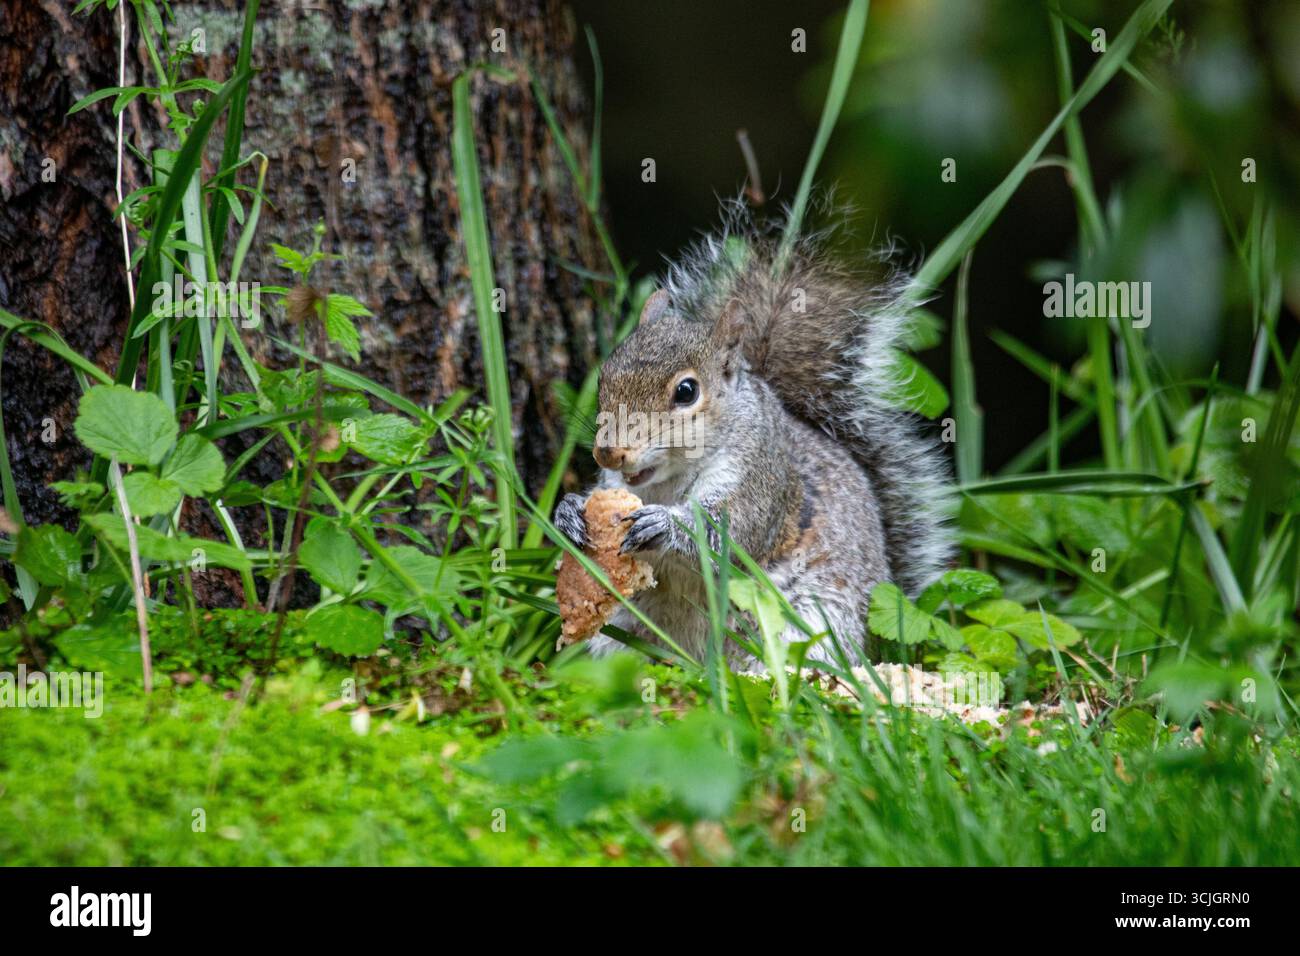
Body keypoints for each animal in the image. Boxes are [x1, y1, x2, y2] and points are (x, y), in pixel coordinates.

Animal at [554, 208, 952, 669]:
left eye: (686, 391)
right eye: (605, 377)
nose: (608, 453)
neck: (668, 482)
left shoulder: (759, 479)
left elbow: (729, 534)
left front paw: (665, 525)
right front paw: (569, 512)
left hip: (811, 625)